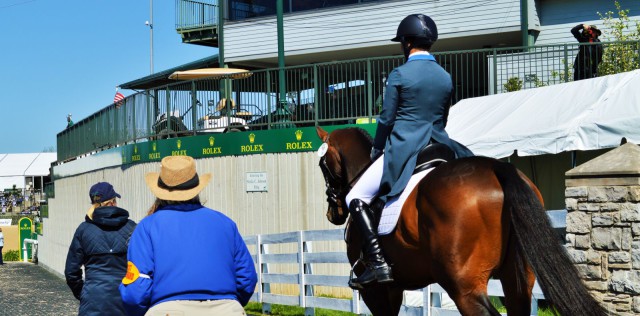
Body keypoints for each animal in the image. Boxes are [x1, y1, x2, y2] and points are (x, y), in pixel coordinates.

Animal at [316, 126, 604, 316]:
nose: (332, 213)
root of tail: (498, 168)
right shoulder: (395, 287)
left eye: (322, 166)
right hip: (517, 280)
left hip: (464, 287)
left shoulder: (376, 290)